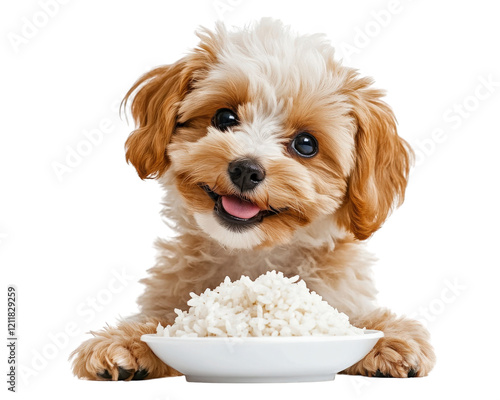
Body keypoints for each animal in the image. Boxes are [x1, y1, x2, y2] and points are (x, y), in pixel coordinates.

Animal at [69, 18, 434, 382]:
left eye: (306, 144)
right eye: (225, 118)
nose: (246, 169)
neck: (252, 256)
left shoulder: (340, 300)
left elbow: (354, 320)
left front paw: (390, 339)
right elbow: (158, 321)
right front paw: (124, 342)